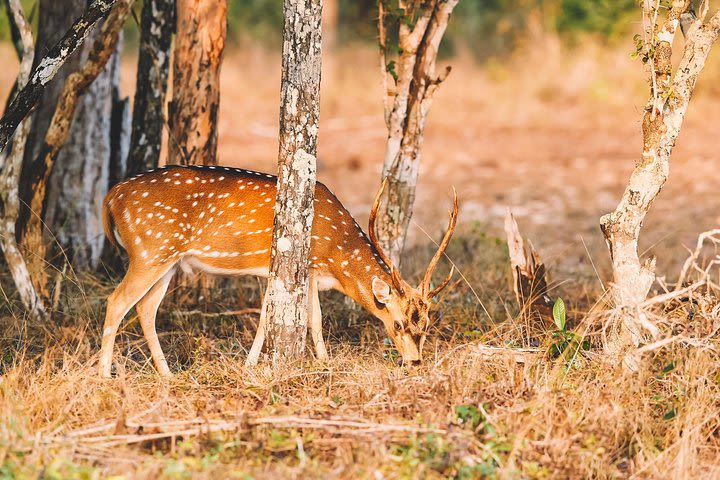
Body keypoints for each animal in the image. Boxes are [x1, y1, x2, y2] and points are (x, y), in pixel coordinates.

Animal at [98, 164, 458, 376]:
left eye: (426, 325)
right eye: (397, 324)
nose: (415, 361)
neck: (337, 256)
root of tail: (111, 195)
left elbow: (268, 318)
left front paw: (253, 365)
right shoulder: (308, 266)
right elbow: (312, 319)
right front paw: (323, 364)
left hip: (168, 262)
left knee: (146, 308)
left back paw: (168, 375)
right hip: (149, 251)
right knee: (116, 301)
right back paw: (104, 376)